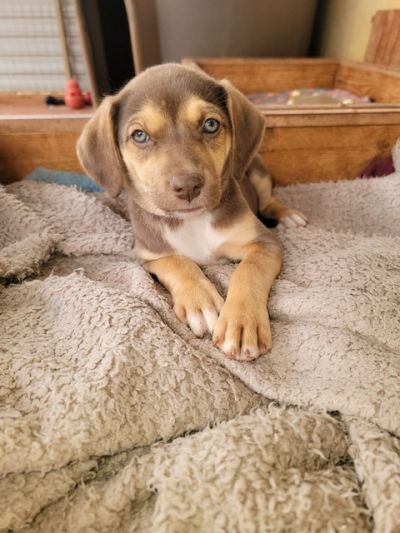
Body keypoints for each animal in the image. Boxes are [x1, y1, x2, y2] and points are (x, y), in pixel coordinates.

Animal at [77, 63, 307, 361]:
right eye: (139, 135)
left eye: (211, 125)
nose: (187, 186)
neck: (192, 221)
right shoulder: (147, 254)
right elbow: (177, 262)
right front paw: (201, 303)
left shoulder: (265, 242)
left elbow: (249, 271)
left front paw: (242, 322)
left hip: (257, 169)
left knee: (268, 199)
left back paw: (288, 214)